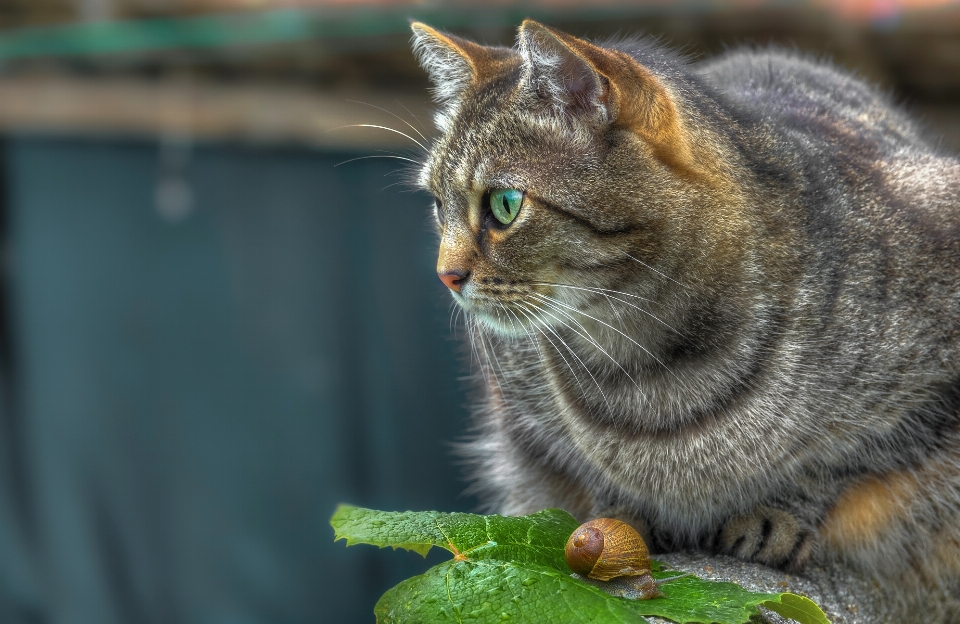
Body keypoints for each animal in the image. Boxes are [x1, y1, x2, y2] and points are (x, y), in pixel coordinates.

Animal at [408, 18, 960, 620]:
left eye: (505, 204)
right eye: (438, 205)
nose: (444, 275)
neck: (646, 369)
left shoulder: (931, 383)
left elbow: (841, 459)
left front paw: (778, 514)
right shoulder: (519, 414)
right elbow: (578, 465)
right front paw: (622, 508)